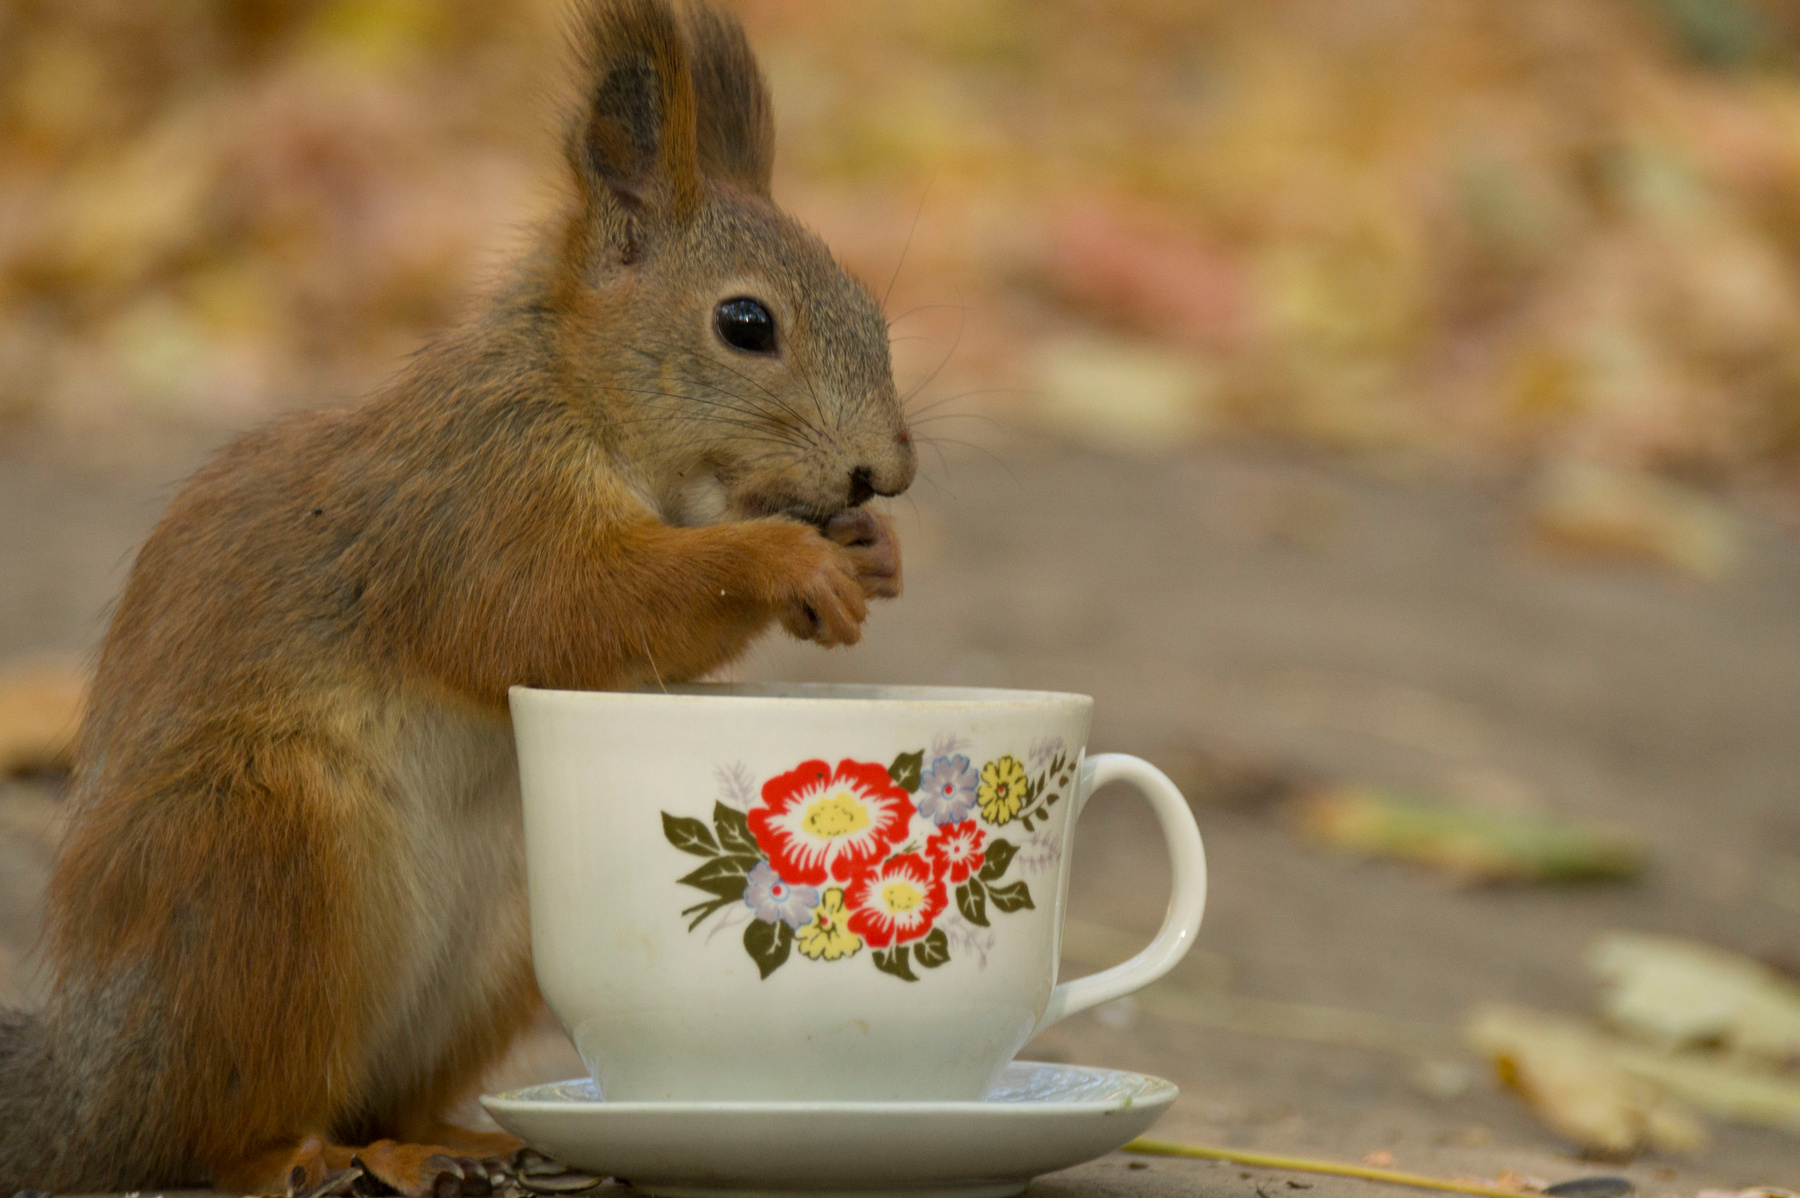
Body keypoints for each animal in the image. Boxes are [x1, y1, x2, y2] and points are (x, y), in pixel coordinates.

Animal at [0, 0, 915, 1193]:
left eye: (876, 315)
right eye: (747, 325)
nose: (884, 474)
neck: (578, 395)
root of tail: (85, 1087)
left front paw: (877, 552)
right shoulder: (477, 502)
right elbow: (557, 609)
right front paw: (785, 561)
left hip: (498, 925)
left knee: (388, 1093)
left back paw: (451, 1135)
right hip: (267, 859)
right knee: (211, 1129)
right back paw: (297, 1154)